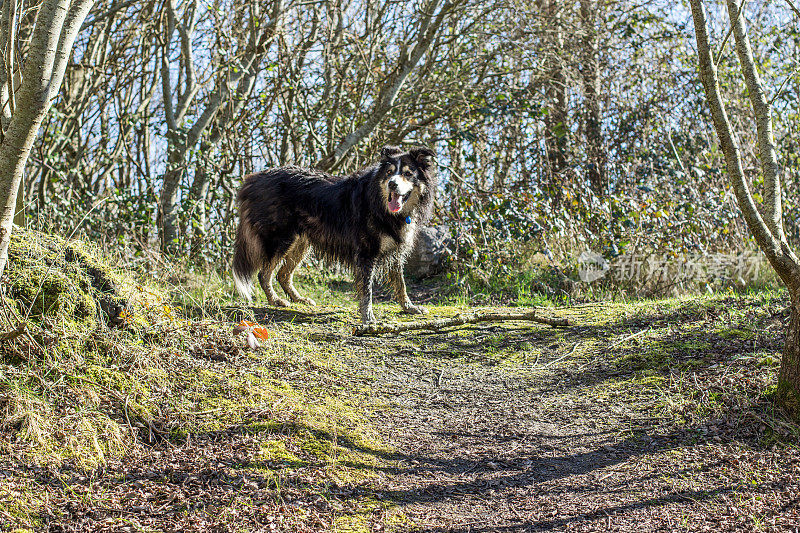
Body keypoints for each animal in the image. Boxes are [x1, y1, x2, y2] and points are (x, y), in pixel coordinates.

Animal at [231, 143, 438, 322]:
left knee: (283, 274)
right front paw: (368, 318)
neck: (380, 204)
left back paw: (299, 300)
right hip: (281, 238)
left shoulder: (396, 249)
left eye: (408, 174)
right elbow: (367, 289)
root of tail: (253, 179)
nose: (392, 184)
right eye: (389, 173)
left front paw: (409, 307)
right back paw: (276, 300)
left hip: (300, 242)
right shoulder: (366, 251)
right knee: (264, 274)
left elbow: (400, 283)